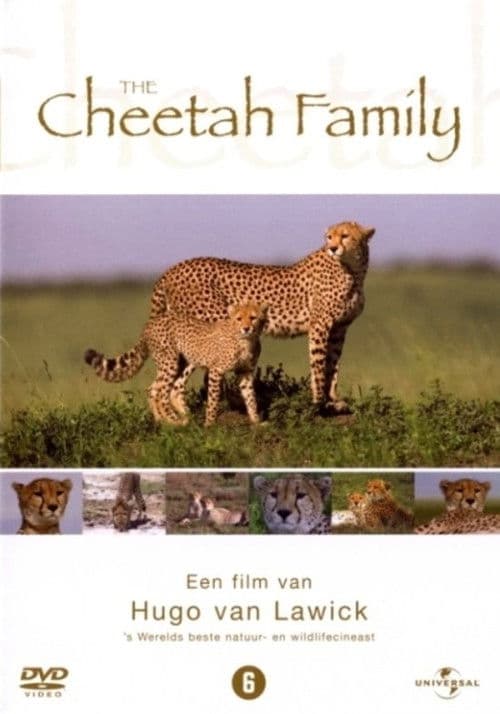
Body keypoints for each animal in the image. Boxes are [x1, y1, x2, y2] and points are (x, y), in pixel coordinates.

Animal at [85, 303, 267, 427]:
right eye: (239, 318)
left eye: (253, 317)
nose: (246, 328)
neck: (245, 341)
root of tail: (150, 323)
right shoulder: (216, 370)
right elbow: (213, 399)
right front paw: (210, 424)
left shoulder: (245, 372)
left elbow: (250, 397)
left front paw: (256, 422)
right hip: (170, 361)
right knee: (162, 392)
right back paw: (175, 421)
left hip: (181, 362)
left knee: (157, 389)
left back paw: (165, 420)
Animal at [148, 221, 375, 411]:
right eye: (329, 237)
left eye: (345, 235)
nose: (332, 248)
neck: (353, 270)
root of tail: (173, 268)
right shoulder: (320, 325)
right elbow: (318, 364)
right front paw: (318, 402)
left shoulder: (340, 328)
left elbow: (333, 365)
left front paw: (333, 399)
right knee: (172, 384)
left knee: (166, 386)